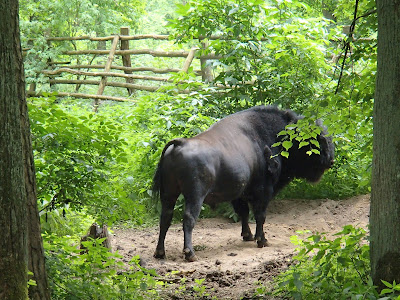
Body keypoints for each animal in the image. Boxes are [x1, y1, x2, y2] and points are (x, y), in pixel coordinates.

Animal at [153, 106, 334, 262]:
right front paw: (262, 240)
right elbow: (260, 215)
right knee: (189, 218)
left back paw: (160, 253)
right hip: (194, 196)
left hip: (168, 194)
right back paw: (190, 253)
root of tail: (179, 144)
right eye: (317, 139)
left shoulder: (239, 193)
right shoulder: (263, 191)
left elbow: (244, 213)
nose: (330, 160)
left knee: (165, 218)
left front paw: (248, 236)